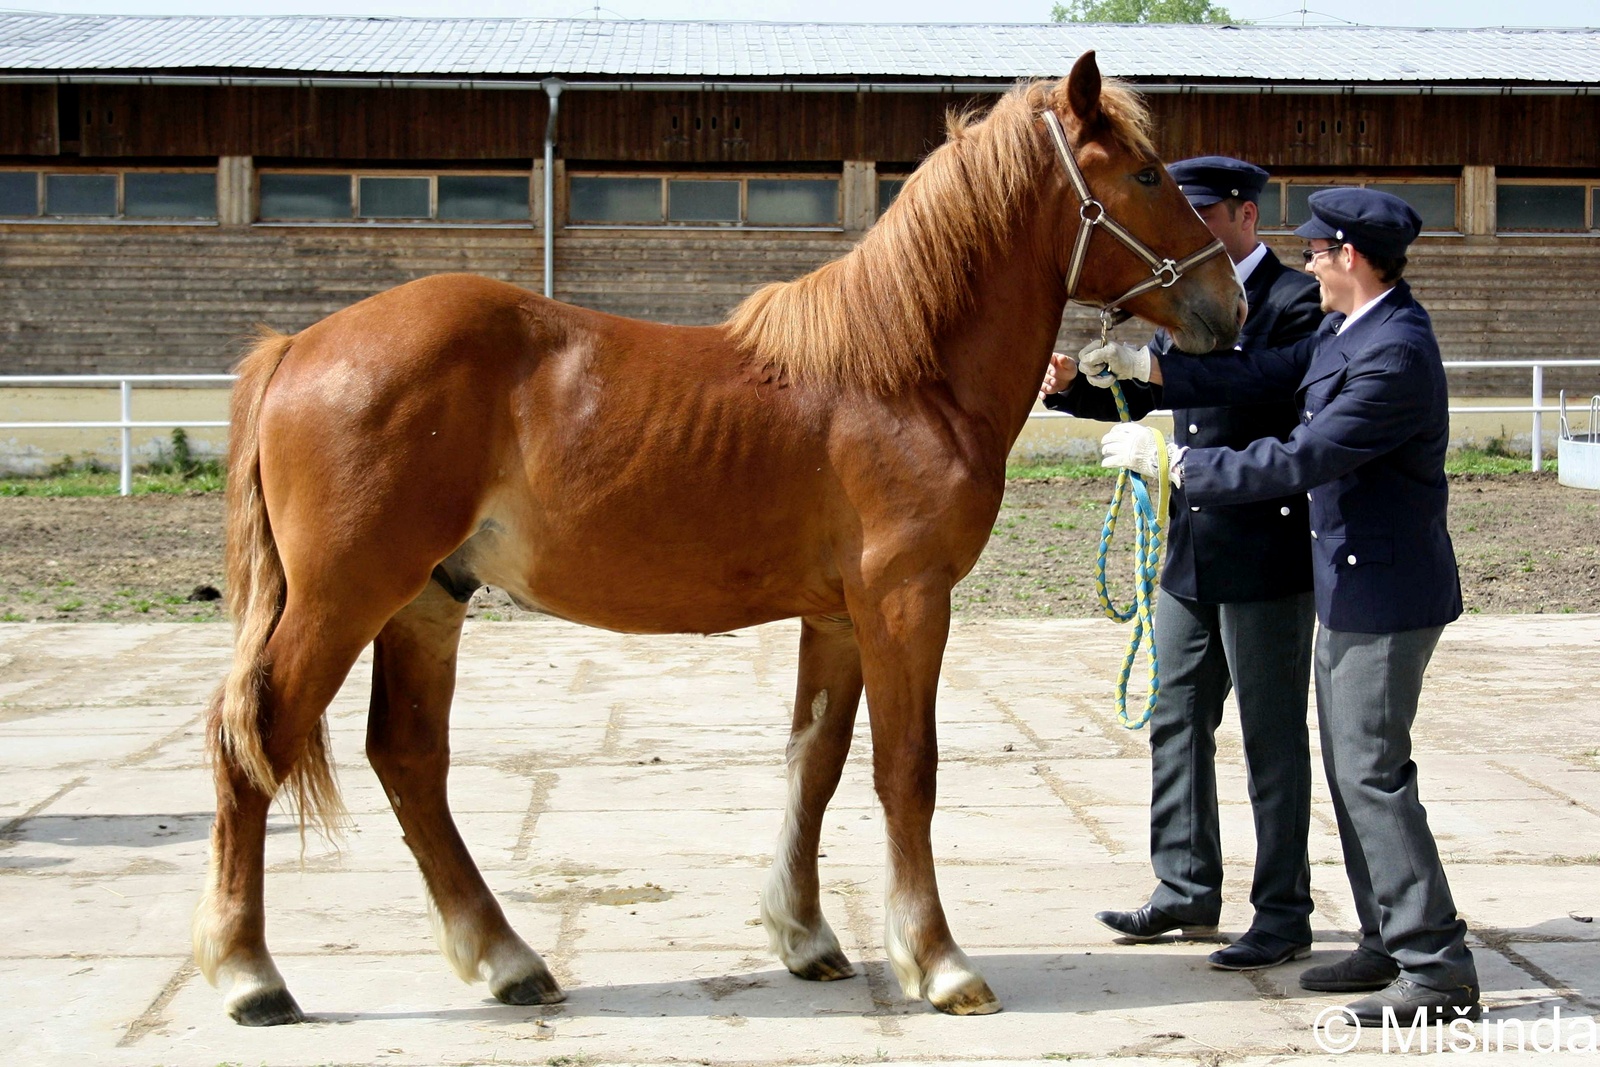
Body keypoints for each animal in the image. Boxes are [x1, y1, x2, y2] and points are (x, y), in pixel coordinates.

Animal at [193, 51, 1241, 1023]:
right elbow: (907, 768)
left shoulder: (839, 618)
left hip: (426, 600)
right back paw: (250, 976)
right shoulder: (906, 601)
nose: (1227, 302)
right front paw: (939, 960)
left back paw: (507, 960)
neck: (904, 374)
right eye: (1148, 174)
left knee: (409, 760)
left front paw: (806, 936)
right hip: (344, 598)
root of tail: (298, 347)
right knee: (253, 743)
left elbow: (814, 764)